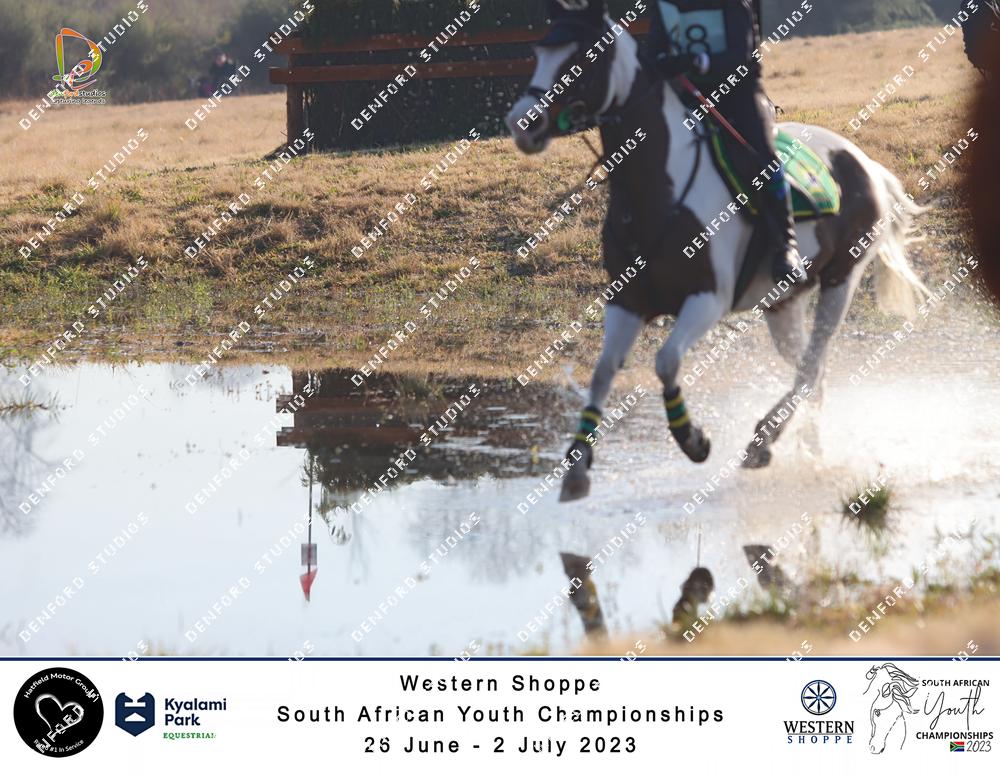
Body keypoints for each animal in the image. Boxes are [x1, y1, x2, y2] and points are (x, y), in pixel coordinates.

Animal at [504, 1, 930, 501]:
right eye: (538, 54)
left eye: (582, 61)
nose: (521, 123)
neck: (656, 191)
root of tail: (861, 160)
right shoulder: (626, 301)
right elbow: (603, 370)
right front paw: (577, 468)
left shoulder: (706, 300)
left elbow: (666, 362)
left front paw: (693, 440)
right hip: (782, 303)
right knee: (814, 373)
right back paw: (805, 448)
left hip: (840, 280)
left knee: (811, 368)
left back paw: (763, 442)